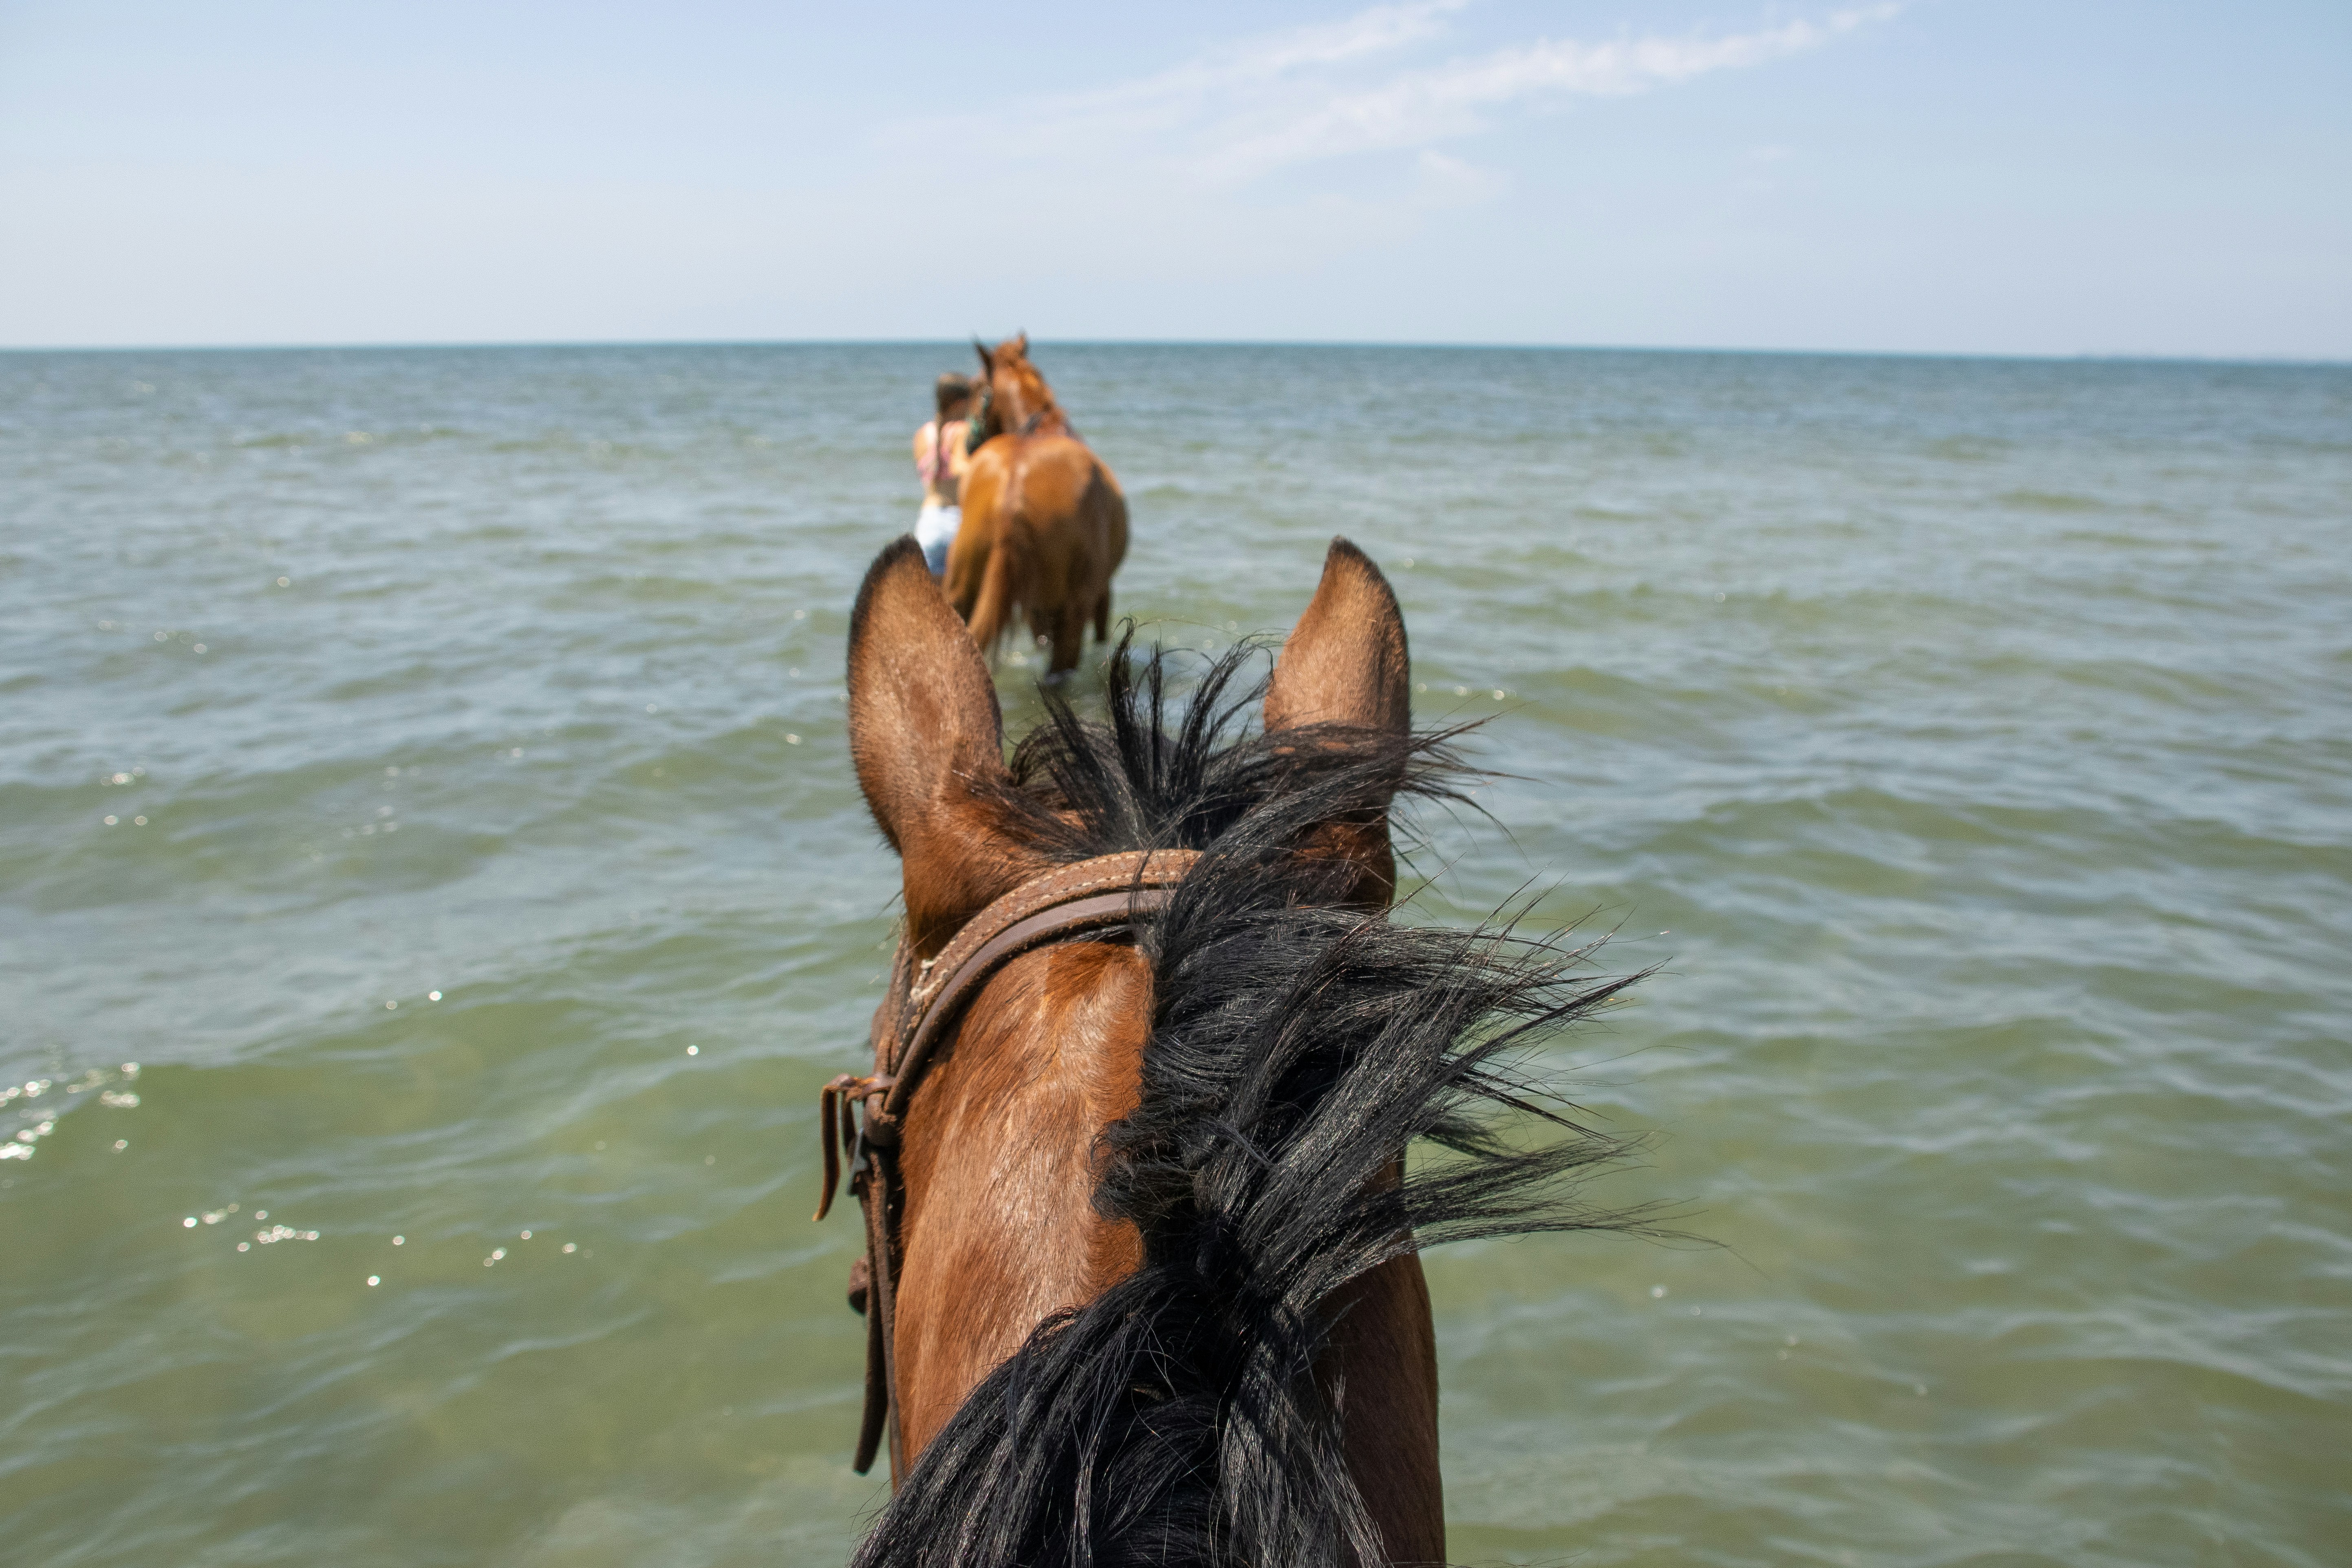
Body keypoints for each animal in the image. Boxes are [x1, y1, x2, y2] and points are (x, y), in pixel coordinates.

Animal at [943, 334, 1128, 680]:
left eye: (974, 388)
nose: (968, 444)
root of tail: (1013, 493)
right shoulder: (1097, 595)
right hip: (1074, 610)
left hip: (960, 593)